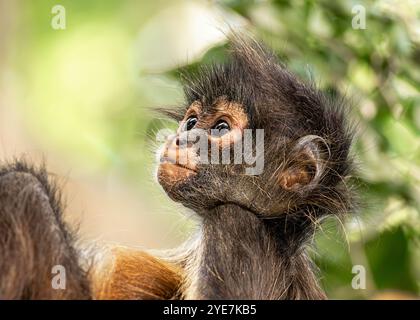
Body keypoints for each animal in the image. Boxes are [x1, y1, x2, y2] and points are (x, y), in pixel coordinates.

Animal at [0, 35, 354, 300]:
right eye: (192, 121)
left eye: (221, 128)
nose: (180, 138)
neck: (279, 234)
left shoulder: (238, 226)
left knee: (24, 186)